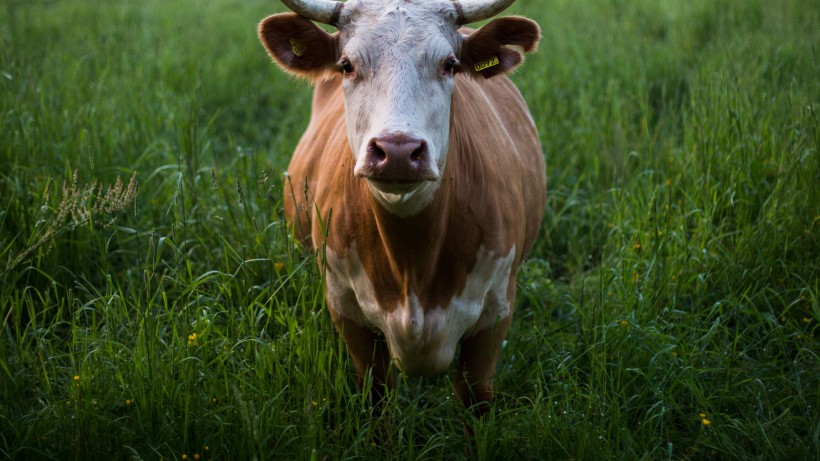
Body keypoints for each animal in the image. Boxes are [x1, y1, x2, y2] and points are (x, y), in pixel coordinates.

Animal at [260, 0, 544, 414]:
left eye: (450, 64)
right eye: (346, 65)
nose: (396, 152)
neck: (412, 262)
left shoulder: (495, 314)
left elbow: (476, 398)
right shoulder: (346, 310)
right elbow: (377, 396)